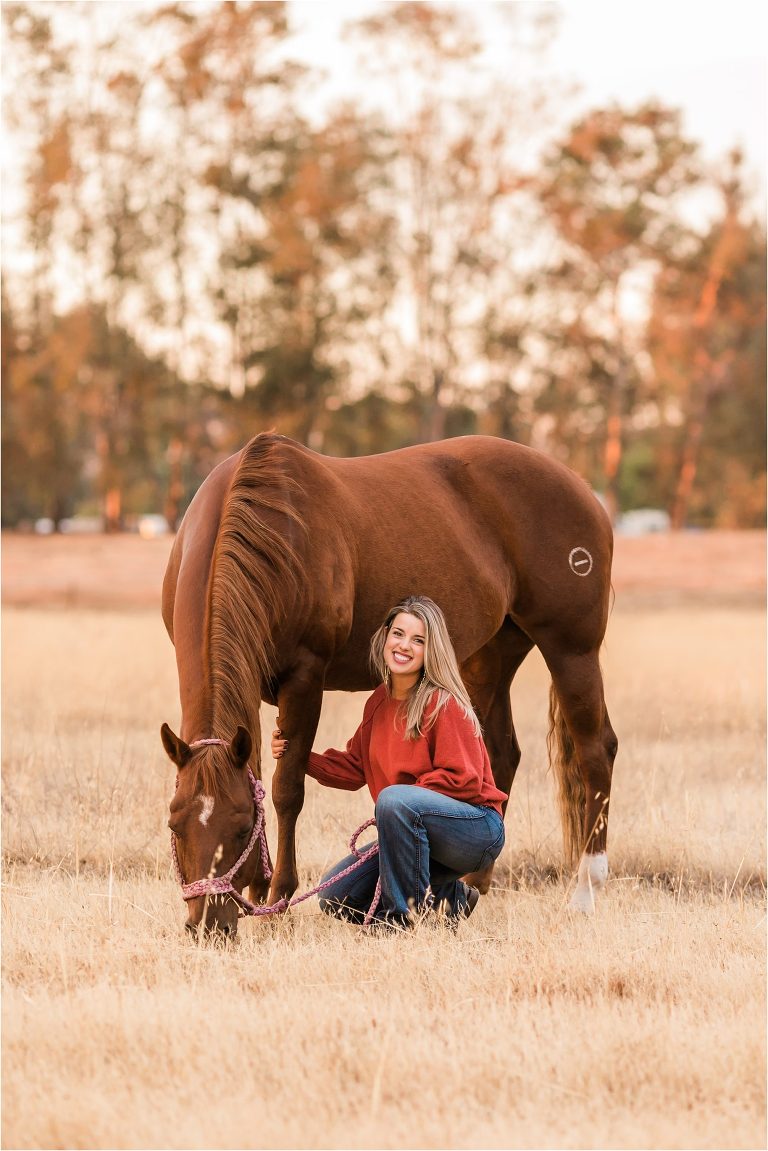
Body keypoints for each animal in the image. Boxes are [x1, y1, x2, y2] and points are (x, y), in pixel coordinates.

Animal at [161, 432, 617, 936]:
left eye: (242, 827)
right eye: (174, 824)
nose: (208, 924)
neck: (273, 531)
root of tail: (582, 491)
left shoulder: (305, 678)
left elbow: (286, 788)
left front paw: (278, 897)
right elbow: (259, 772)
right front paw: (260, 890)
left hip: (572, 650)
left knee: (595, 751)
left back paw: (586, 890)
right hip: (491, 653)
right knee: (500, 753)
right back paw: (473, 882)